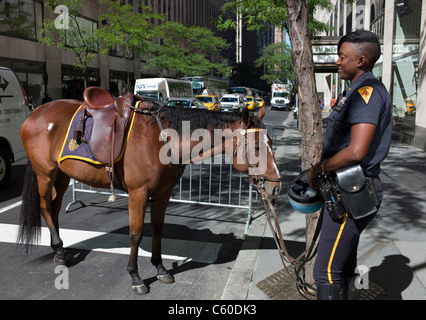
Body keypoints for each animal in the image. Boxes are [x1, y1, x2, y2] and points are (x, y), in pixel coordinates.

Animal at [17, 90, 282, 296]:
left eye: (270, 143)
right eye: (256, 147)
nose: (276, 186)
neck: (160, 139)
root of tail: (34, 113)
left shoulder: (163, 194)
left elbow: (157, 229)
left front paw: (161, 268)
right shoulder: (138, 193)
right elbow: (136, 234)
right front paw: (136, 278)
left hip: (62, 176)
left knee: (54, 208)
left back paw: (60, 250)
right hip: (45, 174)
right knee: (45, 207)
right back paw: (61, 251)